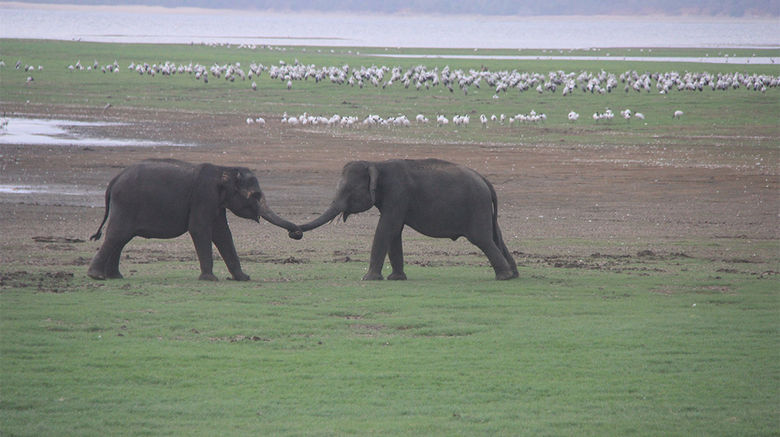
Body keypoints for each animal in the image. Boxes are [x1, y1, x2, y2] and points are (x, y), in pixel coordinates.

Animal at [87, 159, 302, 281]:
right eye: (255, 195)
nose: (296, 233)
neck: (224, 170)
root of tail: (114, 180)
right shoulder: (203, 196)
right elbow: (200, 229)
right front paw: (210, 279)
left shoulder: (216, 203)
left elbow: (223, 234)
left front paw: (243, 278)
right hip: (126, 204)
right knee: (118, 235)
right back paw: (96, 276)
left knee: (122, 238)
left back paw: (115, 277)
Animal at [299, 158, 519, 280]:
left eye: (348, 191)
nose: (296, 232)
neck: (376, 164)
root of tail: (486, 181)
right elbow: (394, 232)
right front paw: (396, 278)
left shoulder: (397, 193)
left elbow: (386, 228)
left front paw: (368, 279)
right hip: (485, 210)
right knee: (496, 238)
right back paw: (513, 275)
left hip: (476, 206)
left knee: (483, 240)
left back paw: (504, 277)